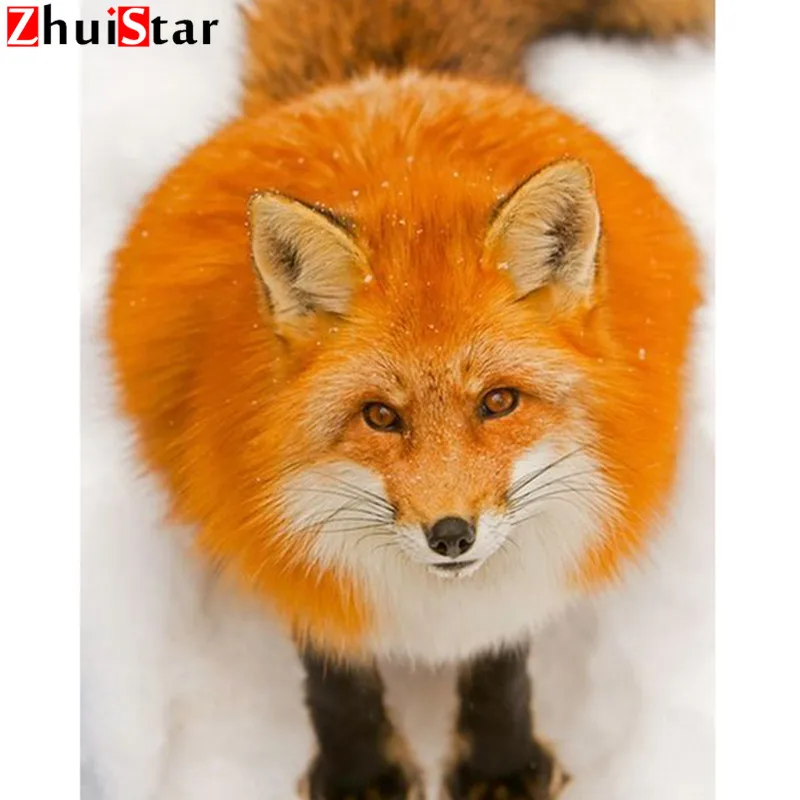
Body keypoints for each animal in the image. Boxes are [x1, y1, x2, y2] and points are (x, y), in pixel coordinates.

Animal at [106, 0, 711, 797]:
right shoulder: (274, 535)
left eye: (499, 402)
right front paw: (358, 774)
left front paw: (500, 765)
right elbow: (335, 676)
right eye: (380, 416)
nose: (450, 535)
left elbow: (501, 661)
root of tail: (386, 81)